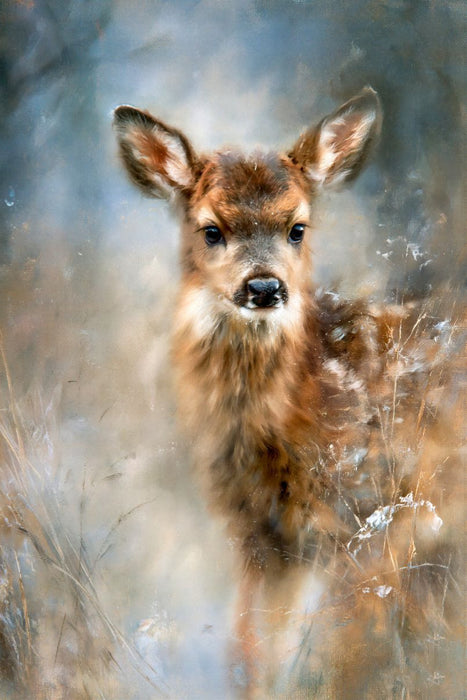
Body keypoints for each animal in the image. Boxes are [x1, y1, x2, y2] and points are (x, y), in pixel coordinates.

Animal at [114, 89, 464, 698]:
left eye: (297, 228)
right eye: (211, 229)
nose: (263, 286)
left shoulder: (368, 518)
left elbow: (343, 652)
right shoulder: (262, 537)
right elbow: (253, 649)